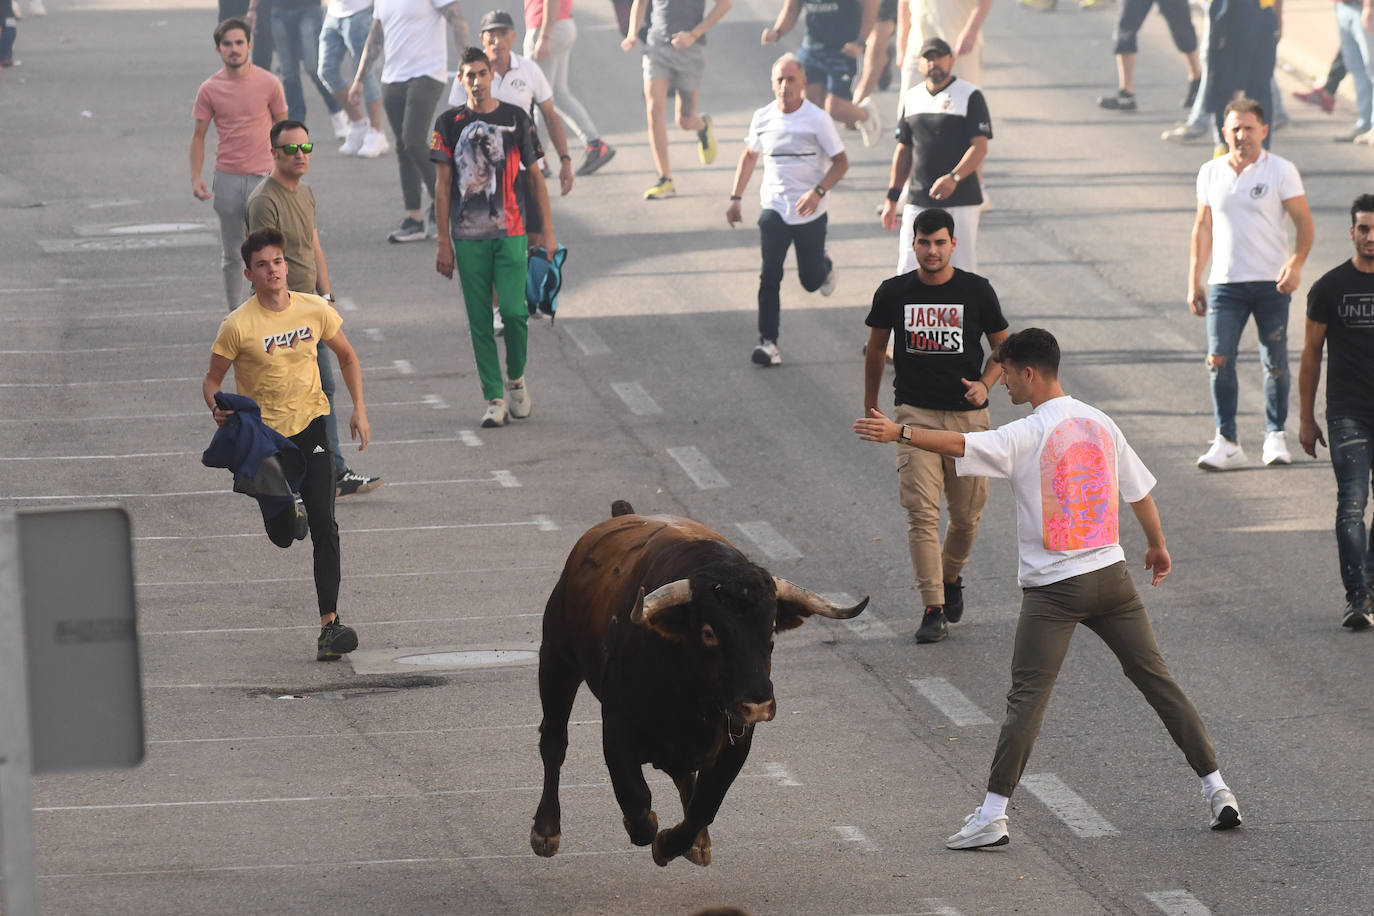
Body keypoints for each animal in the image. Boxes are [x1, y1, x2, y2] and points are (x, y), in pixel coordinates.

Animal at [530, 502, 862, 867]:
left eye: (772, 630)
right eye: (708, 632)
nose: (757, 704)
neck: (691, 696)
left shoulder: (736, 740)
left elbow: (704, 805)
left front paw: (674, 843)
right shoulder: (616, 724)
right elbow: (636, 799)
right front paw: (649, 830)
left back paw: (698, 843)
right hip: (557, 659)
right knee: (554, 740)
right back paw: (545, 831)